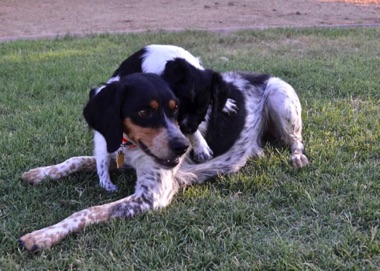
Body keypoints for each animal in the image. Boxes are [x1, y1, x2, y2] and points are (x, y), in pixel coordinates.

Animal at [19, 52, 308, 252]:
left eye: (175, 109)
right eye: (144, 112)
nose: (183, 147)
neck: (133, 146)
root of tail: (262, 75)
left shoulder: (153, 194)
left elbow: (87, 211)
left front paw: (42, 235)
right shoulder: (122, 160)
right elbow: (76, 160)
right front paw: (42, 173)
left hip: (281, 98)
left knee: (296, 139)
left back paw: (297, 157)